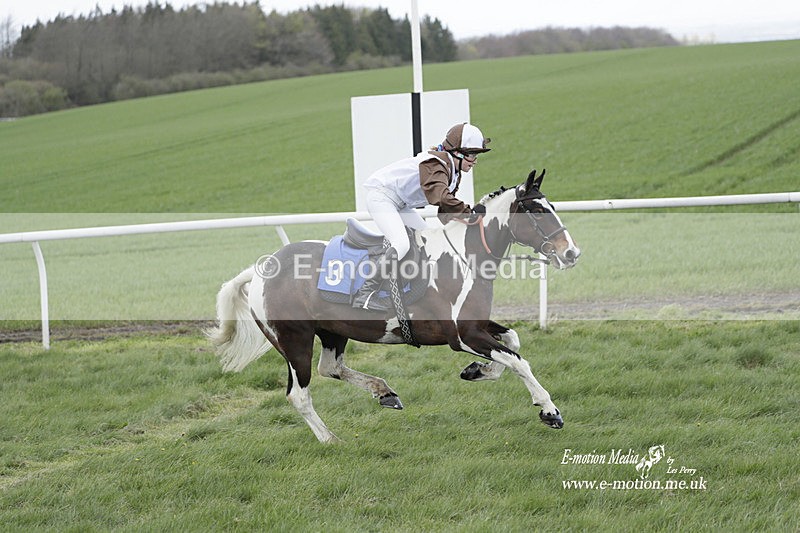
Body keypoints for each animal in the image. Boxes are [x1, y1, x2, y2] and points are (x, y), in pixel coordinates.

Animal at [207, 169, 580, 443]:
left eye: (551, 206)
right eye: (537, 210)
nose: (571, 253)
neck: (465, 254)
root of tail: (260, 270)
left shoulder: (476, 326)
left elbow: (513, 341)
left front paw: (478, 370)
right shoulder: (462, 335)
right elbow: (519, 361)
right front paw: (549, 411)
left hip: (332, 331)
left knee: (331, 367)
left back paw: (384, 391)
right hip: (294, 340)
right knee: (299, 394)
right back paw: (331, 439)